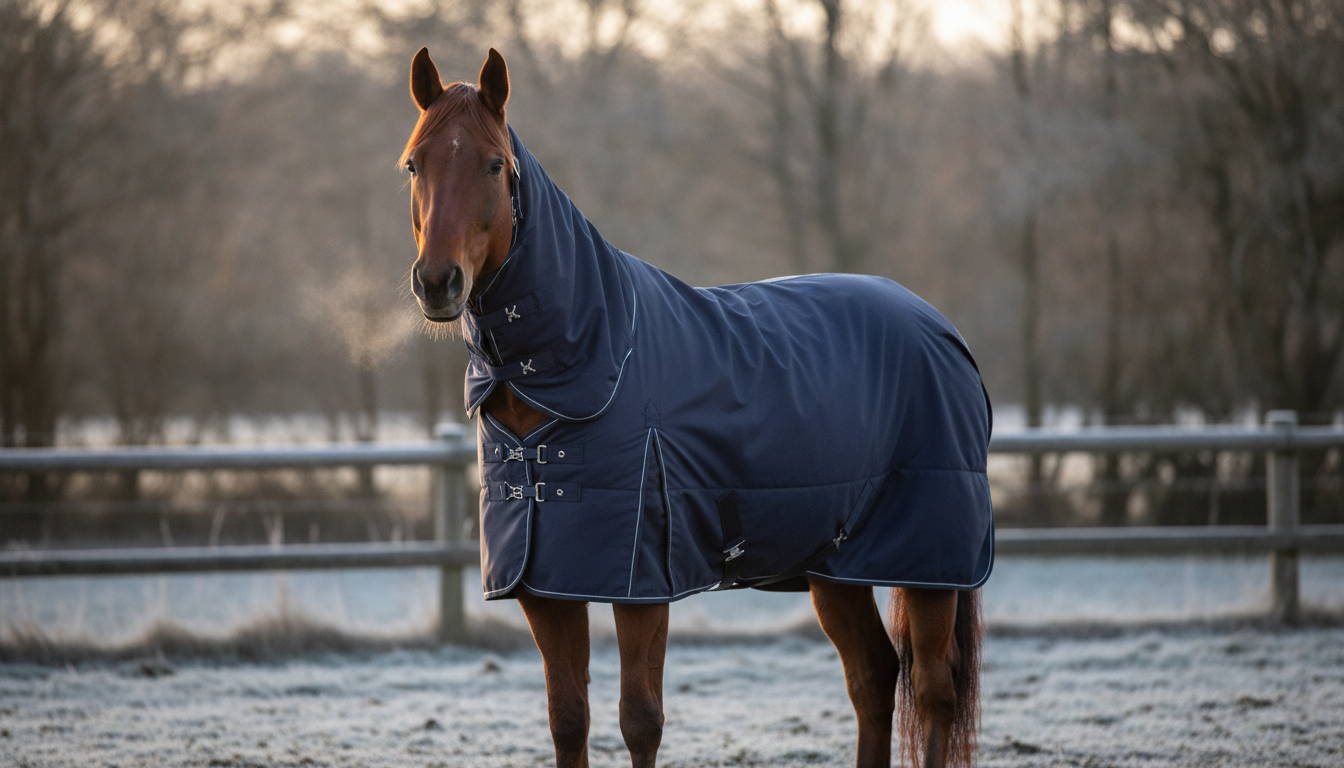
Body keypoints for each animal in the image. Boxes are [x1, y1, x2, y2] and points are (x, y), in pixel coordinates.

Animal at [400, 47, 993, 768]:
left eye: (493, 163)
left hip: (930, 566)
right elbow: (568, 718)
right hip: (837, 567)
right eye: (414, 163)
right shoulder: (545, 587)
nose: (437, 282)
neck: (590, 355)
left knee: (931, 691)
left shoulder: (643, 586)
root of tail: (942, 329)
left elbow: (639, 720)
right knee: (873, 677)